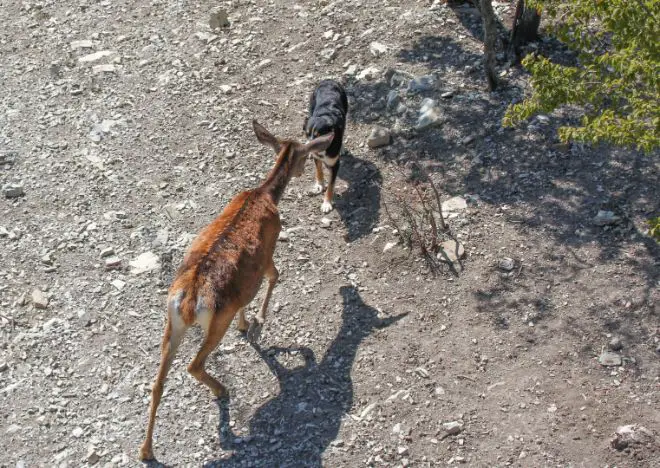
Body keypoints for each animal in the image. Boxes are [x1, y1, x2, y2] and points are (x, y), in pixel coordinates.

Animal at [141, 119, 336, 460]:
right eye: (304, 155)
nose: (302, 172)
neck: (264, 194)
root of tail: (189, 301)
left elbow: (250, 292)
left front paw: (248, 325)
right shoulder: (269, 247)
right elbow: (274, 277)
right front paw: (258, 323)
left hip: (172, 321)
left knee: (157, 383)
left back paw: (146, 451)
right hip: (217, 319)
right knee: (194, 364)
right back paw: (222, 389)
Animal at [302, 79, 348, 214]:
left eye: (319, 136)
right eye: (307, 134)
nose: (310, 148)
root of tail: (329, 80)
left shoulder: (335, 165)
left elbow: (331, 186)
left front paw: (326, 203)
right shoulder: (317, 157)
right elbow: (319, 170)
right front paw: (319, 185)